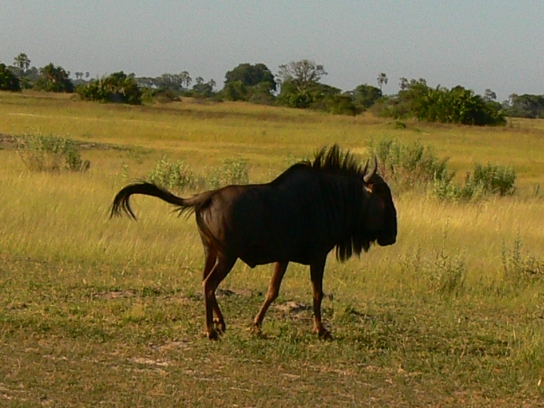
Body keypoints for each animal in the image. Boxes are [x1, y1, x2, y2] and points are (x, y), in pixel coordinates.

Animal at [111, 145, 397, 339]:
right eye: (384, 196)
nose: (392, 236)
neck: (333, 196)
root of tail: (207, 196)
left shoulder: (283, 257)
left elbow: (272, 291)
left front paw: (257, 326)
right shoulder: (318, 256)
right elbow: (317, 293)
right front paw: (321, 330)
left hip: (211, 252)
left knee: (205, 282)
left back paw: (220, 323)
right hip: (227, 256)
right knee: (209, 284)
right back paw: (210, 330)